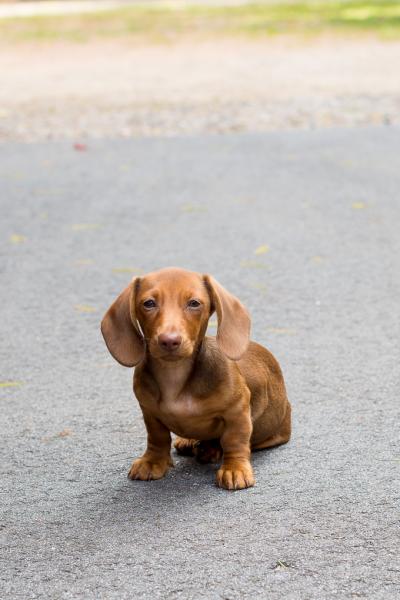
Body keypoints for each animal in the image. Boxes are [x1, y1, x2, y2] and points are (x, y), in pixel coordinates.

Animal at [101, 268, 290, 488]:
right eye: (148, 303)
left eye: (194, 303)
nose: (169, 341)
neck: (174, 376)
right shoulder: (149, 412)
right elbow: (157, 438)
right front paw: (152, 461)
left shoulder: (237, 411)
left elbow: (235, 440)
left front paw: (235, 469)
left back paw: (210, 449)